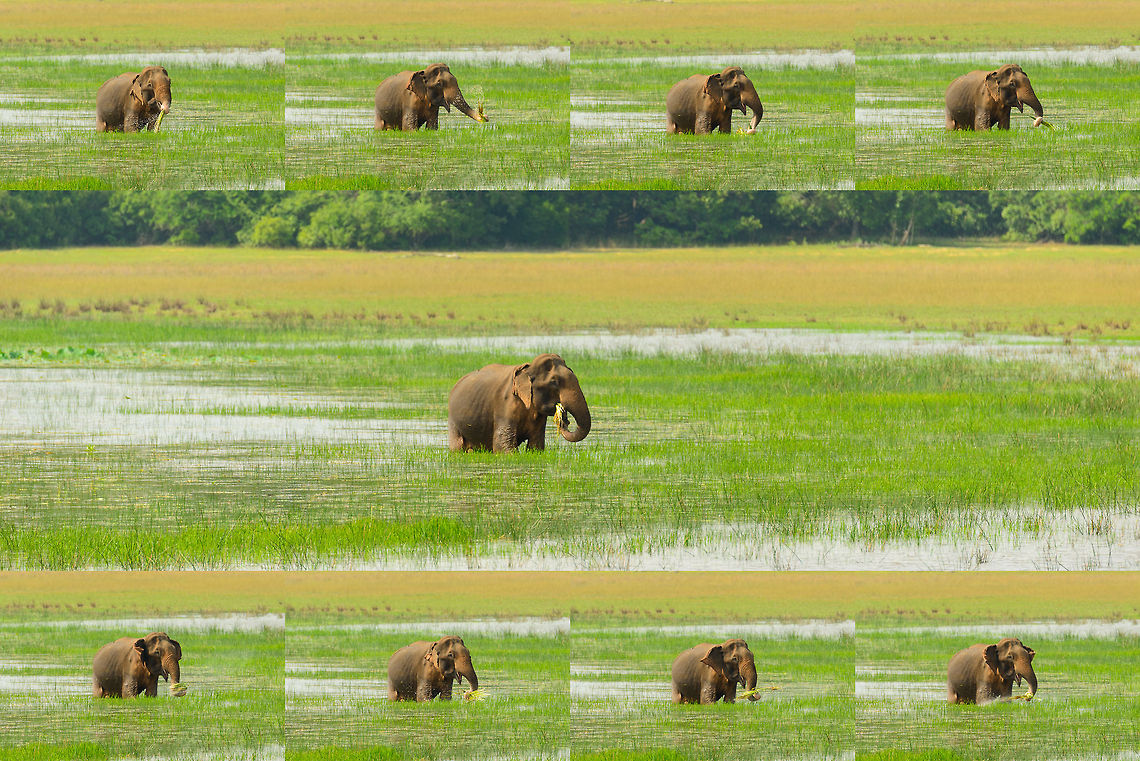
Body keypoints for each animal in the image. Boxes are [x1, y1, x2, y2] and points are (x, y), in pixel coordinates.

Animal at [448, 353, 591, 452]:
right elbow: (503, 446)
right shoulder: (504, 404)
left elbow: (536, 445)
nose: (564, 419)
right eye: (554, 382)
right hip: (453, 422)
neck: (528, 369)